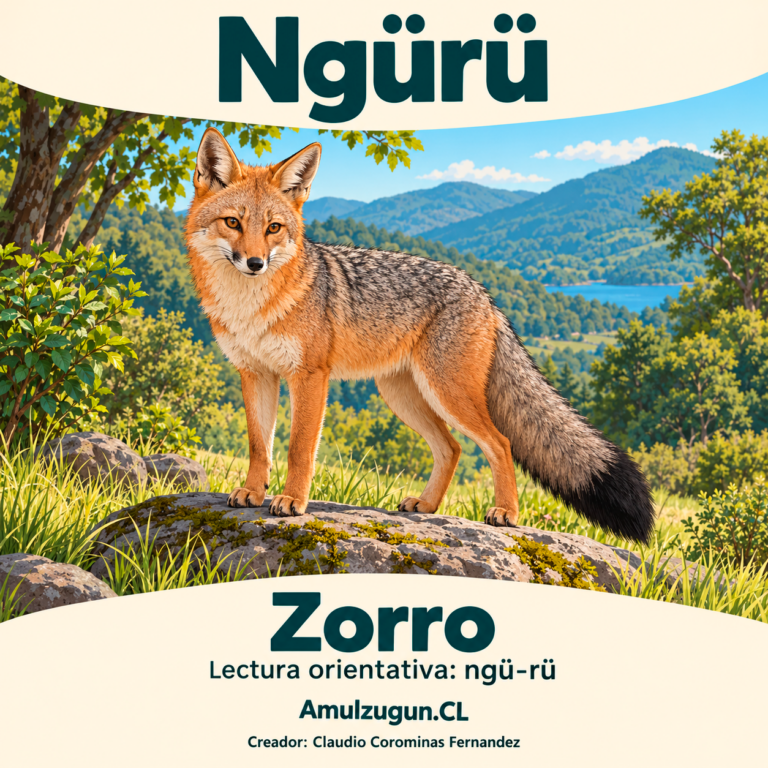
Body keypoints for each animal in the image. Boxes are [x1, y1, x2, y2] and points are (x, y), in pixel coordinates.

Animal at [185, 127, 655, 543]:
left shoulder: (310, 377)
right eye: (233, 223)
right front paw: (253, 493)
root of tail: (484, 292)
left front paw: (292, 501)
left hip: (446, 394)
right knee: (452, 449)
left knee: (499, 444)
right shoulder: (255, 374)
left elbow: (299, 448)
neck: (251, 308)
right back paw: (427, 507)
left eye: (274, 228)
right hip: (404, 396)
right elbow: (258, 445)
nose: (255, 263)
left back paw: (506, 513)